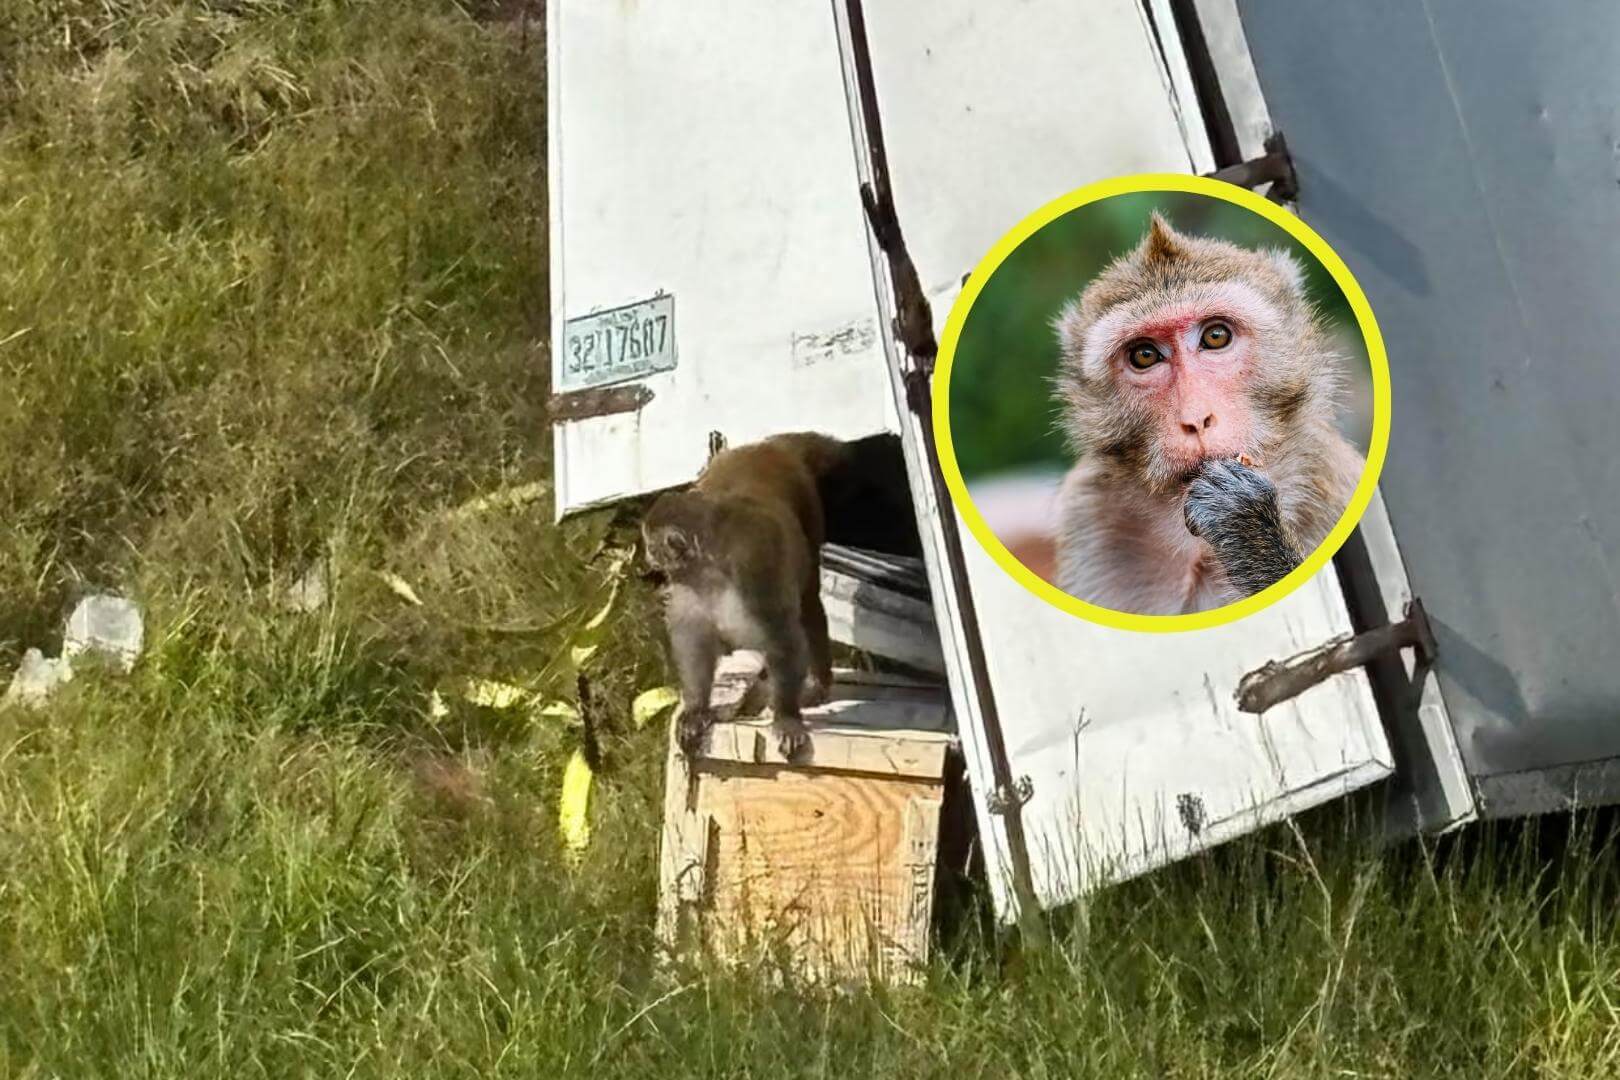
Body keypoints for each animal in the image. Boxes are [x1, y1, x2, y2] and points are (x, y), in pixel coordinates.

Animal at [642, 432, 851, 760]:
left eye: (652, 545)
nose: (647, 557)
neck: (711, 568)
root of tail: (766, 446)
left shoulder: (753, 569)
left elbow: (783, 637)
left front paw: (786, 717)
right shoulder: (688, 587)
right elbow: (694, 641)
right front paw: (696, 709)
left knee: (808, 603)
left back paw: (818, 683)